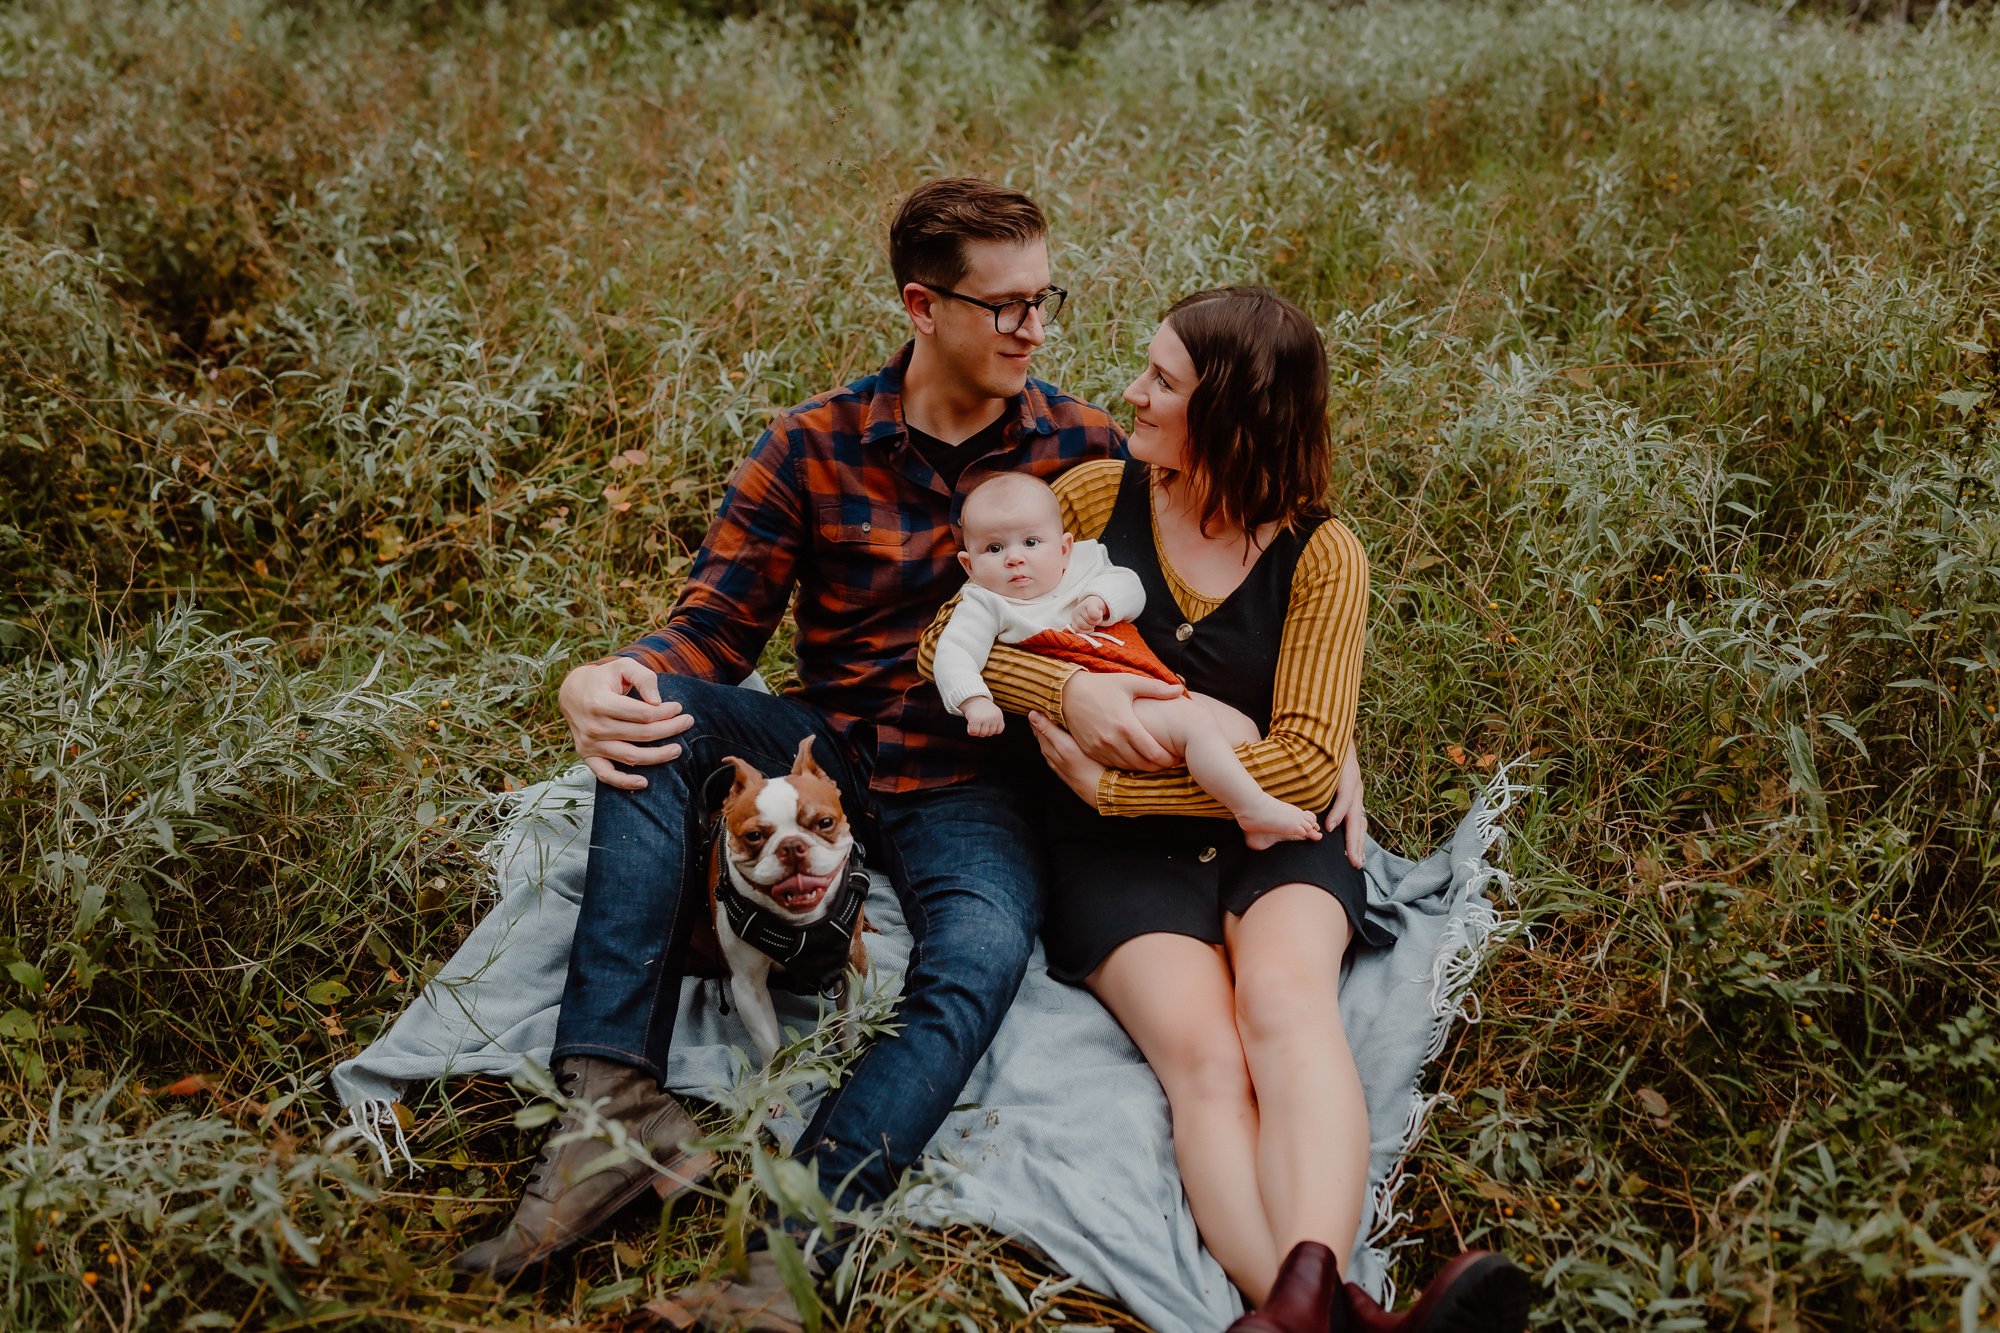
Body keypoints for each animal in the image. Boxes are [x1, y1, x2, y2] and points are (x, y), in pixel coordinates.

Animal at [708, 736, 872, 1056]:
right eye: (754, 836)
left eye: (825, 822)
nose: (792, 846)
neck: (804, 924)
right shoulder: (748, 986)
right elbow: (773, 1050)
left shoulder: (853, 961)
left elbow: (848, 1021)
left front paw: (847, 1056)